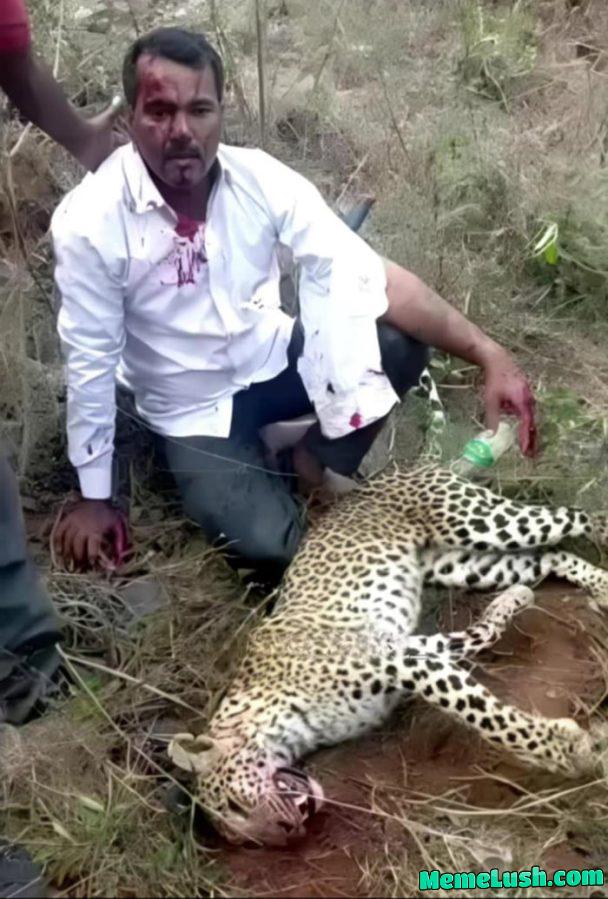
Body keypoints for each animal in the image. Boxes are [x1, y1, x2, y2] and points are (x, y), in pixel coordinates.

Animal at [168, 465, 608, 847]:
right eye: (250, 842)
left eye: (234, 806)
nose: (290, 832)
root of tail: (384, 474)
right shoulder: (414, 650)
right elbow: (479, 636)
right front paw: (513, 602)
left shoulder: (399, 660)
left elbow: (483, 715)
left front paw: (567, 752)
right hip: (464, 566)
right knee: (547, 556)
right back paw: (595, 585)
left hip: (485, 523)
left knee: (574, 516)